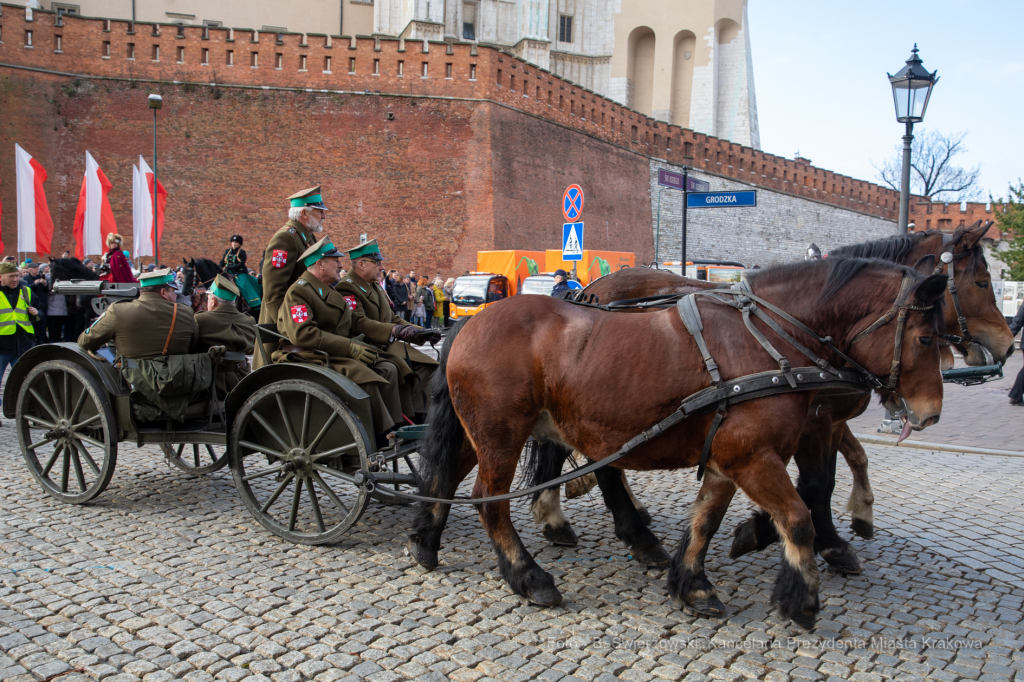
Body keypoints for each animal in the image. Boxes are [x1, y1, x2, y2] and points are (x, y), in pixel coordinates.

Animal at [405, 259, 942, 626]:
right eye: (925, 338)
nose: (930, 412)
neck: (765, 341)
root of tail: (469, 321)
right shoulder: (755, 456)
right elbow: (798, 517)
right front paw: (801, 598)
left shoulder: (730, 459)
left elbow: (706, 521)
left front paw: (693, 584)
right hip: (501, 436)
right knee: (489, 500)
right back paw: (528, 576)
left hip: (483, 432)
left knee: (445, 476)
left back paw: (425, 540)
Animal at [532, 222, 1011, 569]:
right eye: (983, 281)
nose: (1008, 344)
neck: (797, 330)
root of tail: (589, 290)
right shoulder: (817, 419)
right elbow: (817, 482)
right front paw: (810, 538)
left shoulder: (829, 418)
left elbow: (850, 462)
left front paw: (850, 518)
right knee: (591, 457)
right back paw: (611, 527)